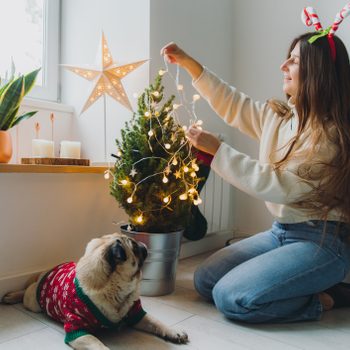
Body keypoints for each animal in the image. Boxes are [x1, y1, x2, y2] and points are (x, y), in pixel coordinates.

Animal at [2, 232, 189, 350]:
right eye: (135, 247)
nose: (143, 244)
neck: (116, 289)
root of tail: (49, 269)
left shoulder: (136, 314)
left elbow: (156, 322)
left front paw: (173, 332)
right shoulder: (78, 332)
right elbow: (98, 345)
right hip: (33, 302)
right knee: (27, 291)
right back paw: (12, 296)